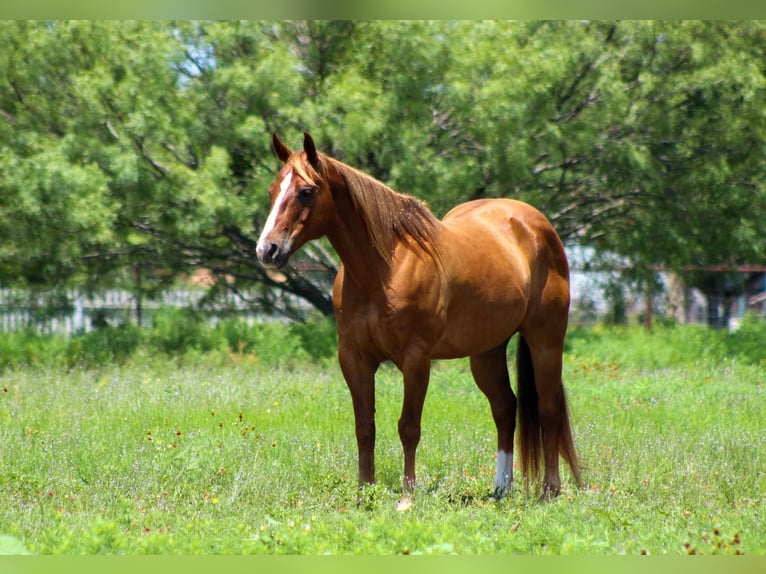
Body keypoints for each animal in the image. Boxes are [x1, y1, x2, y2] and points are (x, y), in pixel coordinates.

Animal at [256, 132, 580, 508]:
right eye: (273, 190)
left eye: (306, 191)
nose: (267, 250)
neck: (384, 269)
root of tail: (534, 224)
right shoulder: (353, 358)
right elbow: (364, 427)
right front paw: (363, 494)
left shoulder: (415, 359)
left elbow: (408, 427)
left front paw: (406, 497)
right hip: (486, 351)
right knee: (505, 407)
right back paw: (501, 489)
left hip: (546, 340)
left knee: (547, 408)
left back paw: (549, 491)